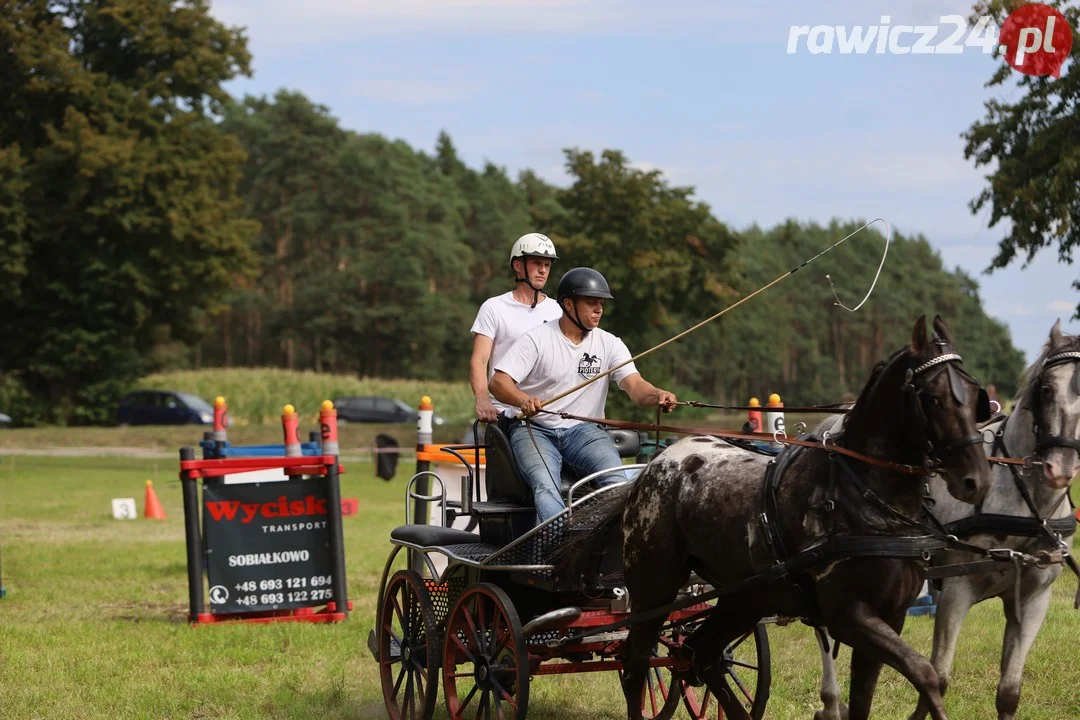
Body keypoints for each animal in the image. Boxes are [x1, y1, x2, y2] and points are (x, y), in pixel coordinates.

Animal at [557, 317, 993, 720]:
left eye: (975, 395)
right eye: (932, 397)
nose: (977, 480)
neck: (865, 498)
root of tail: (649, 469)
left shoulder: (891, 616)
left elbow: (872, 697)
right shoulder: (849, 616)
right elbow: (926, 673)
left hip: (744, 596)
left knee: (701, 655)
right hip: (654, 588)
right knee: (636, 667)